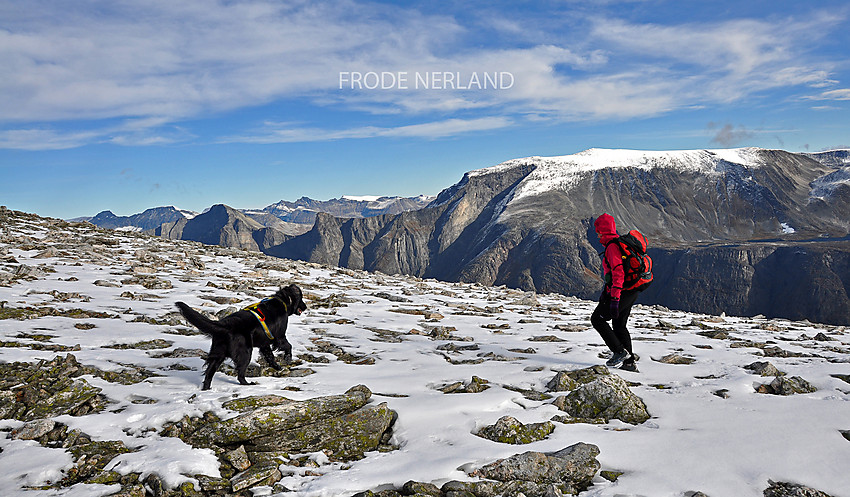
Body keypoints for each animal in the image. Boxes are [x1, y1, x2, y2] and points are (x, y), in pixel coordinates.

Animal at [175, 284, 304, 390]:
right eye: (302, 299)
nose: (305, 306)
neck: (283, 301)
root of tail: (225, 325)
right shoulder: (279, 337)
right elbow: (288, 346)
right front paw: (288, 359)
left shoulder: (265, 343)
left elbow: (270, 356)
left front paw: (277, 367)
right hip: (245, 352)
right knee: (240, 374)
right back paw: (248, 384)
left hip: (218, 354)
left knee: (209, 373)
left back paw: (207, 389)